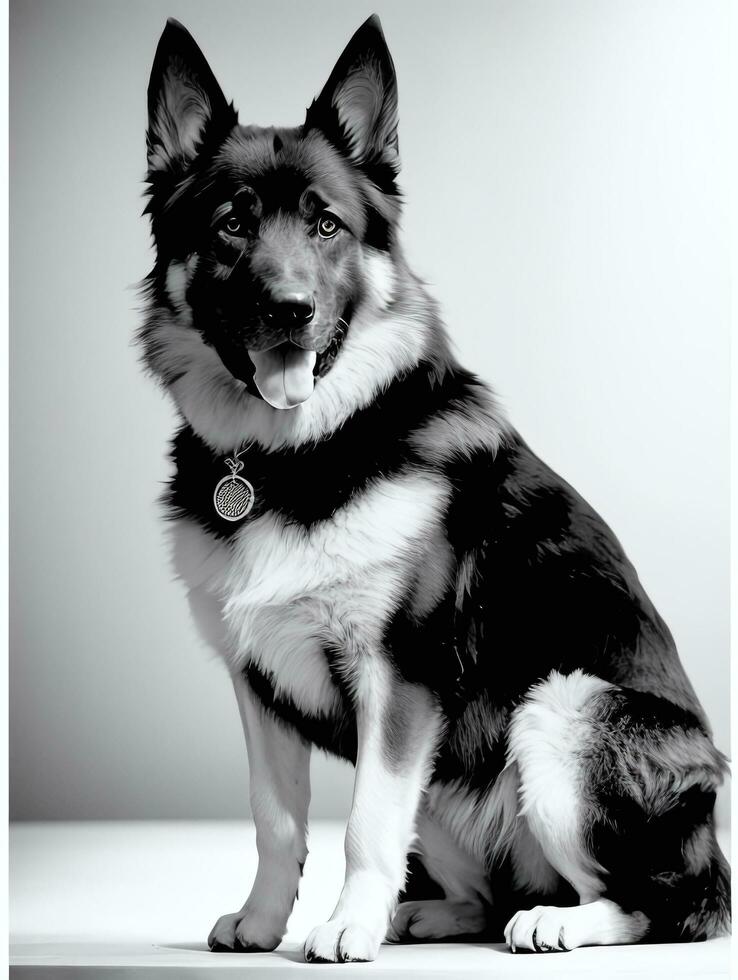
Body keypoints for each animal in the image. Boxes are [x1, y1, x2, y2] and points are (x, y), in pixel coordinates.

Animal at [141, 13, 728, 964]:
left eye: (327, 225)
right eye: (232, 224)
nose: (291, 310)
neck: (302, 452)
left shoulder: (400, 678)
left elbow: (366, 823)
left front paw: (345, 926)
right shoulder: (259, 684)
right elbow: (278, 821)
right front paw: (267, 922)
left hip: (560, 710)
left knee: (657, 905)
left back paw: (558, 921)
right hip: (460, 766)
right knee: (485, 890)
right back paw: (428, 914)